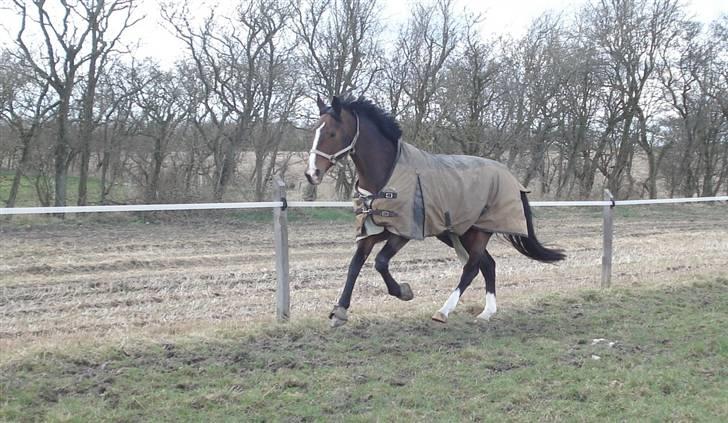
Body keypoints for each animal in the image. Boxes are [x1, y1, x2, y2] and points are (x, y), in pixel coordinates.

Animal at [304, 95, 564, 328]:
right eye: (315, 131)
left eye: (332, 133)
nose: (311, 174)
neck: (387, 176)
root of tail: (512, 178)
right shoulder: (371, 231)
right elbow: (354, 265)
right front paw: (340, 311)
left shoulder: (403, 232)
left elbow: (380, 262)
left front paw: (403, 291)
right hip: (459, 234)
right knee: (488, 265)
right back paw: (486, 313)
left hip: (479, 232)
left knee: (472, 268)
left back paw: (444, 311)